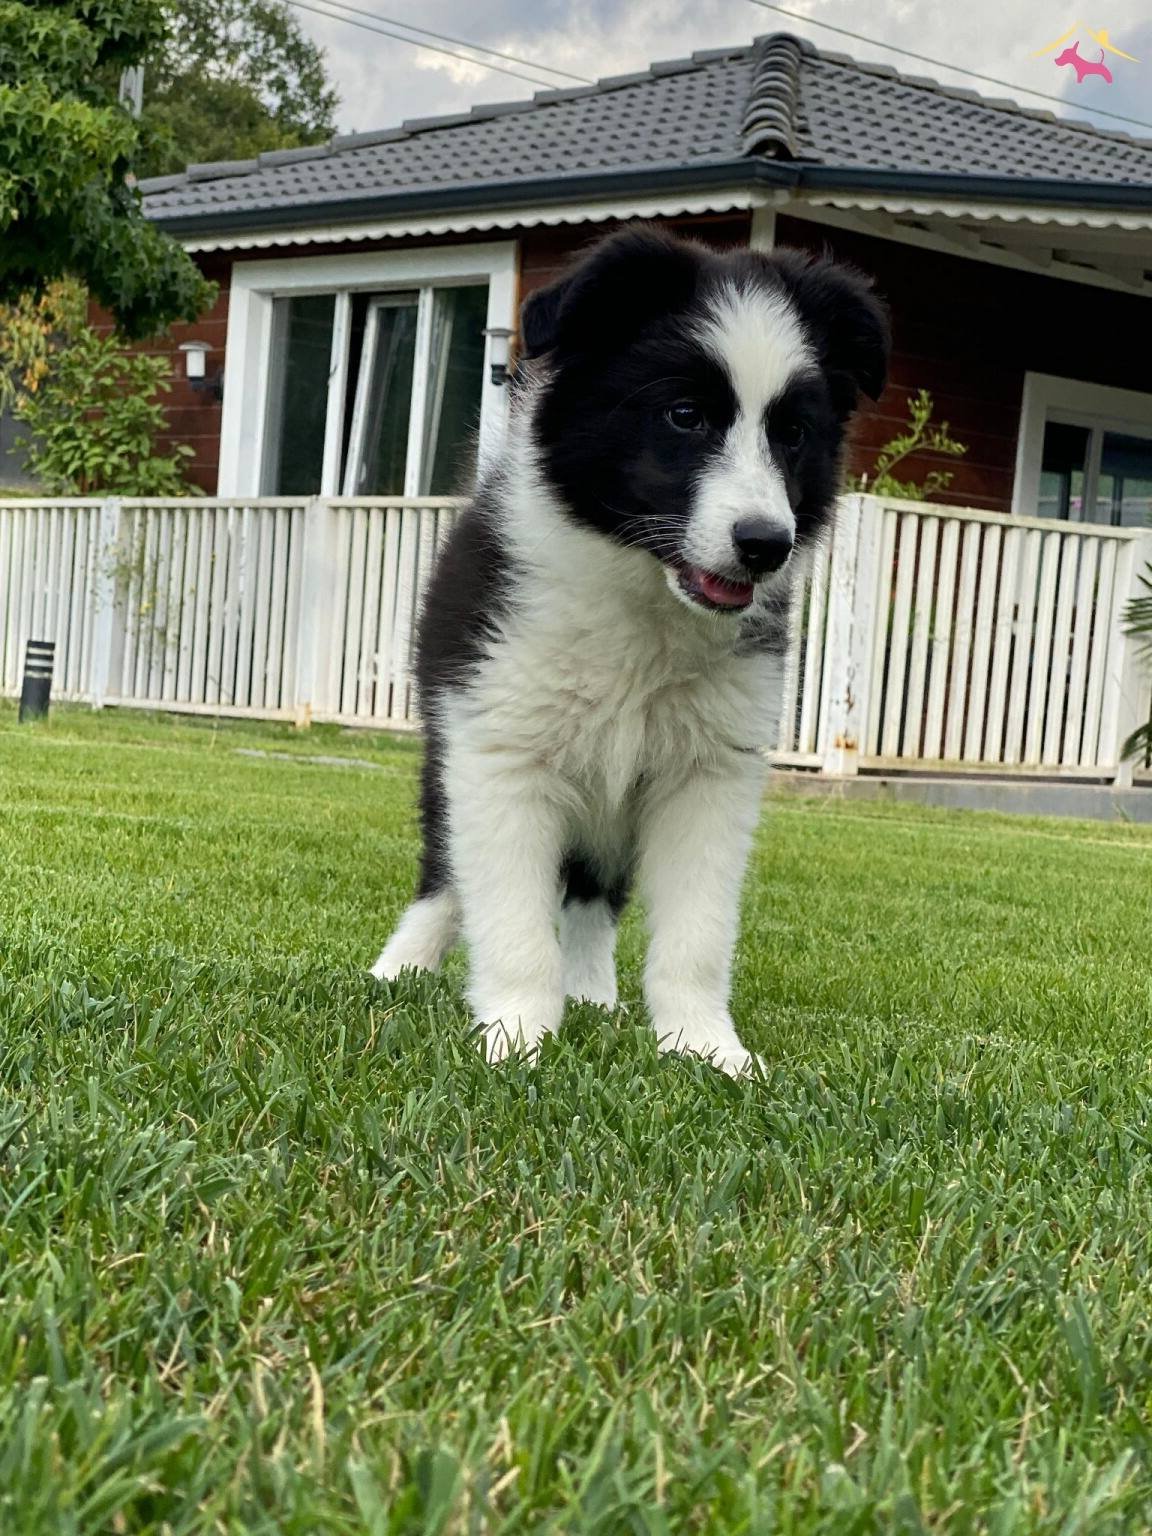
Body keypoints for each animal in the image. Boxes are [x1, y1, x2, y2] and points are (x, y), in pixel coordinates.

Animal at [372, 227, 888, 1075]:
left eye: (792, 434)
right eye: (685, 416)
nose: (766, 545)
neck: (644, 603)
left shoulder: (708, 775)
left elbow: (697, 937)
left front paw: (706, 1048)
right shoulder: (500, 753)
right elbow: (510, 918)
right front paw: (516, 1036)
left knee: (592, 891)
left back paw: (591, 993)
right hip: (448, 759)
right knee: (446, 875)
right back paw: (399, 971)